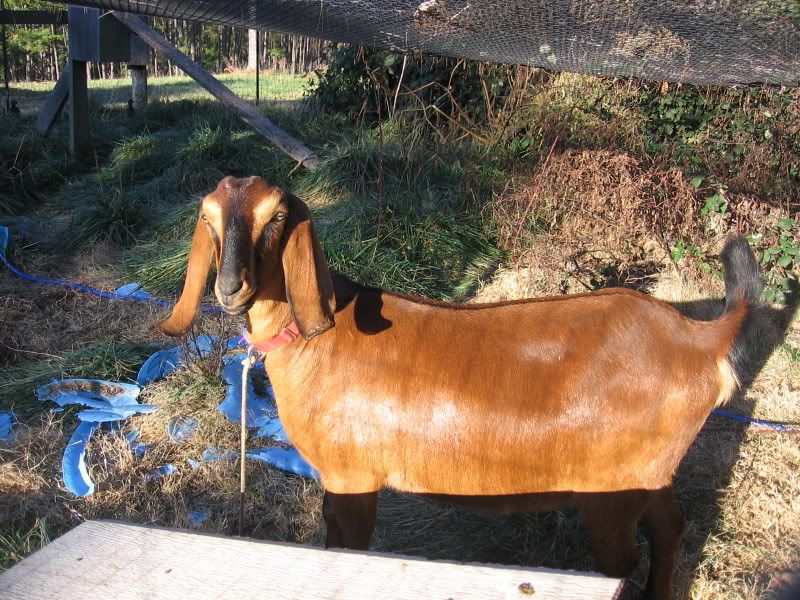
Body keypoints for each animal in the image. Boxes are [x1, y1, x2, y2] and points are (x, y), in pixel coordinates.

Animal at [159, 176, 761, 600]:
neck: (321, 340)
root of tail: (699, 338)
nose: (230, 287)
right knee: (671, 530)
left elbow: (350, 551)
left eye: (276, 216)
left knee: (622, 565)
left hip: (610, 491)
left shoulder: (354, 478)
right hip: (650, 474)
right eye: (209, 217)